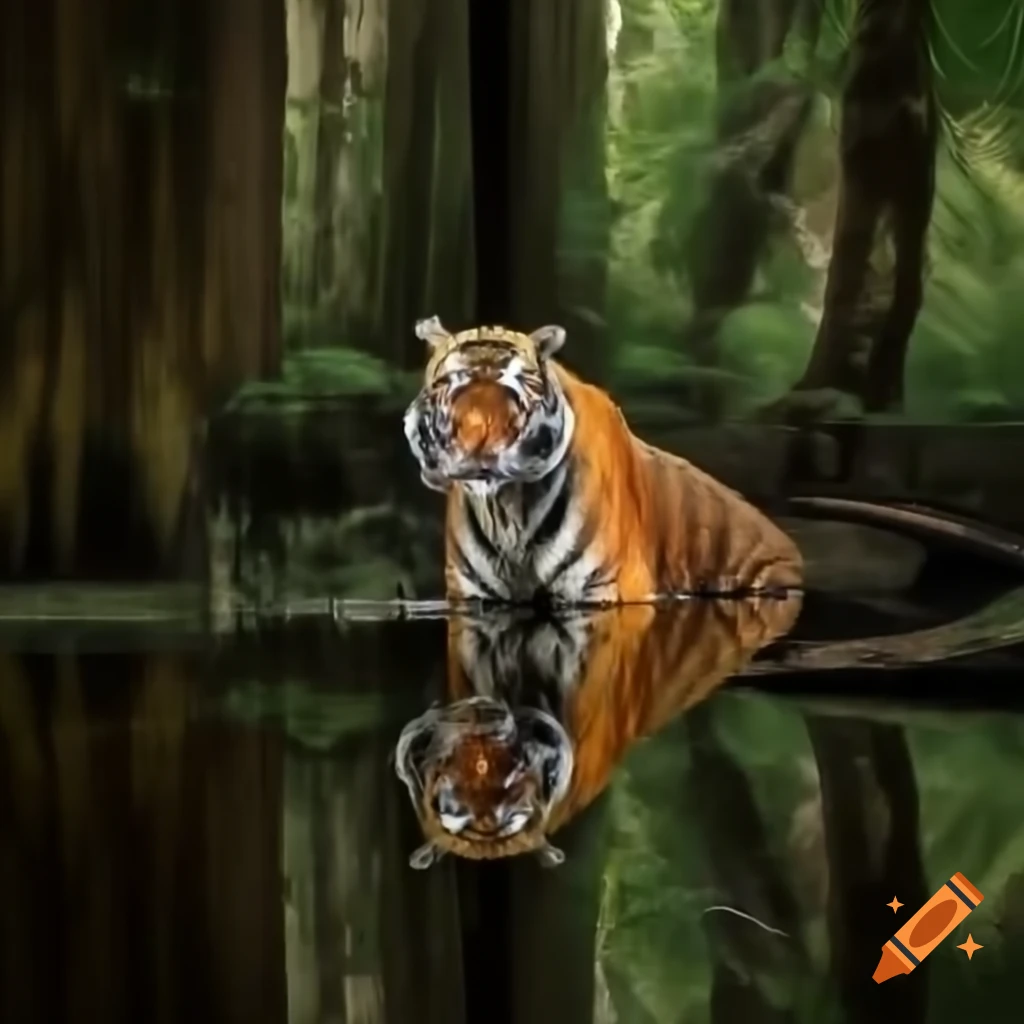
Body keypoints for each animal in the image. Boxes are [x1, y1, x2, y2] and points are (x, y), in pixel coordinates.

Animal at [402, 316, 804, 605]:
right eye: (452, 383)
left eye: (515, 387)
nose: (481, 445)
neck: (509, 511)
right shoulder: (469, 593)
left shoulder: (605, 587)